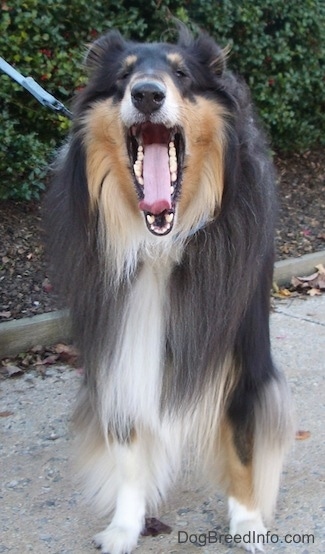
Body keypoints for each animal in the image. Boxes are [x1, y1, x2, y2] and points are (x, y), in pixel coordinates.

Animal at [46, 24, 292, 548]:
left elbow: (242, 445)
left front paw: (247, 523)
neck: (161, 245)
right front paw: (125, 525)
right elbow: (128, 446)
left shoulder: (241, 352)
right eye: (123, 76)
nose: (146, 93)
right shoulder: (119, 344)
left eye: (181, 74)